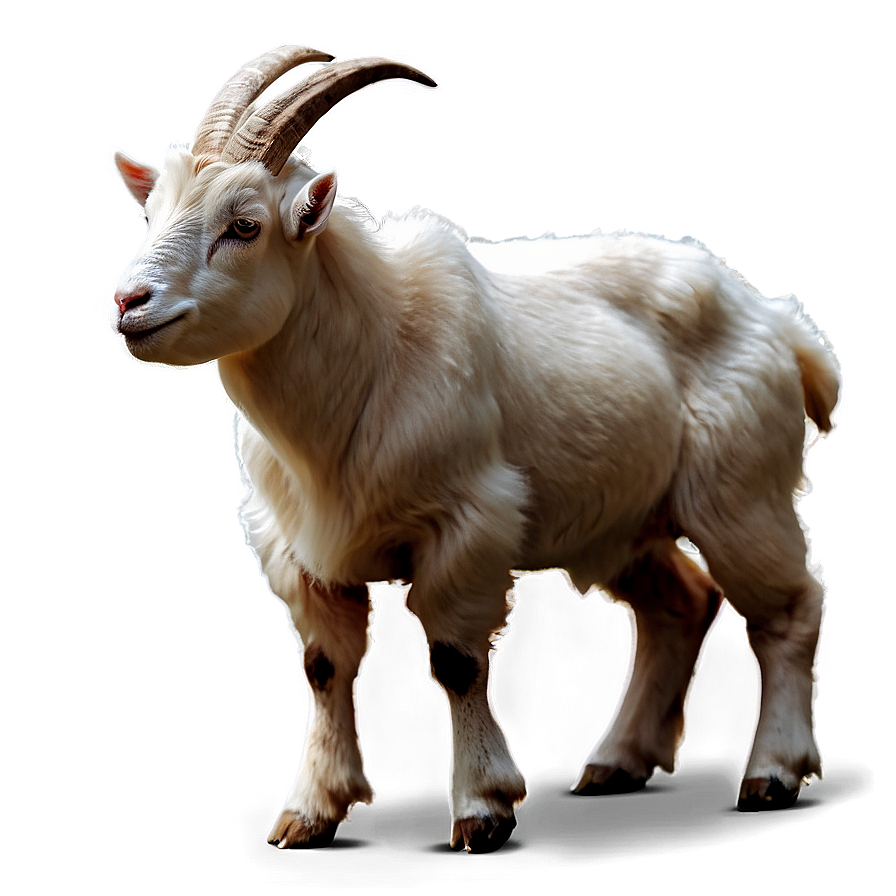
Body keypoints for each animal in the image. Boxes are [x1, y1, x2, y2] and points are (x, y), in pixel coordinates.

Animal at [109, 44, 840, 853]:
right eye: (149, 214)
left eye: (244, 226)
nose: (129, 303)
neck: (370, 351)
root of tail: (782, 325)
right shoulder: (300, 553)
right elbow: (323, 666)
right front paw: (311, 810)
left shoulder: (465, 524)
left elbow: (455, 661)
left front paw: (481, 808)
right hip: (626, 520)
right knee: (680, 604)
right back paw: (618, 761)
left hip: (740, 491)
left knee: (789, 609)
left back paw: (773, 771)